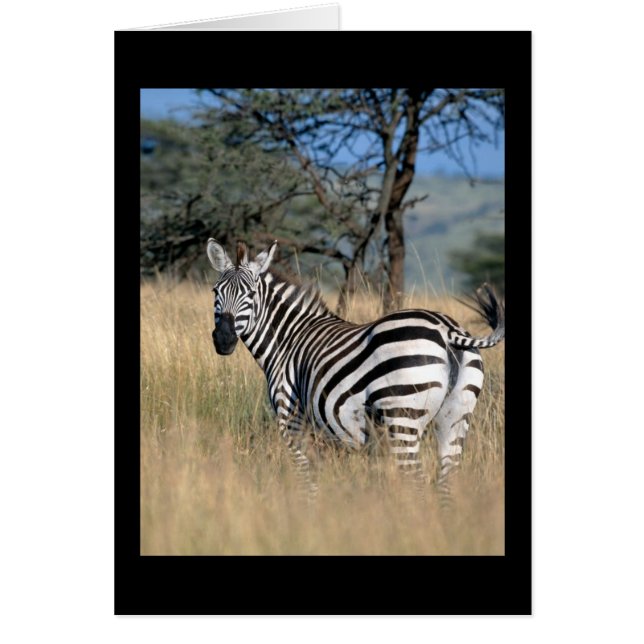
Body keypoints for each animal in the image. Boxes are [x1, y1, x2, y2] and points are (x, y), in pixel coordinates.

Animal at [207, 238, 504, 504]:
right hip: (456, 415)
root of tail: (447, 330)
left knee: (416, 481)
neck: (288, 339)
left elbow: (307, 479)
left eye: (251, 294)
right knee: (446, 480)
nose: (223, 339)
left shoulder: (291, 418)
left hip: (402, 415)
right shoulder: (330, 435)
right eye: (215, 292)